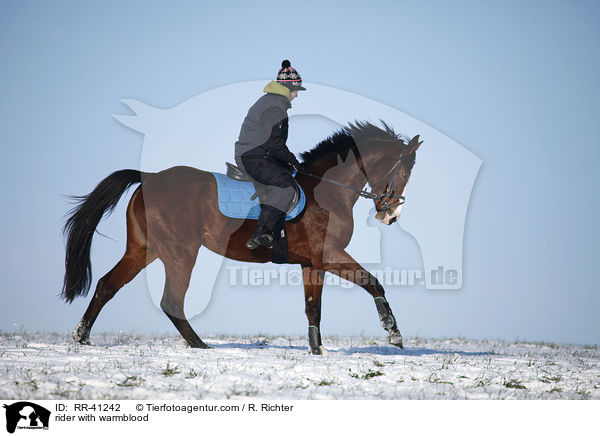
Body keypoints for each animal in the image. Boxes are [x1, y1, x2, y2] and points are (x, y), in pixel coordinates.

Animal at [63, 121, 422, 352]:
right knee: (171, 301)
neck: (327, 190)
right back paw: (200, 345)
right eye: (404, 171)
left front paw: (316, 351)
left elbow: (313, 309)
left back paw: (81, 337)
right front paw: (393, 334)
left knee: (107, 285)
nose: (390, 215)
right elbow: (373, 282)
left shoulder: (311, 263)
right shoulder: (330, 255)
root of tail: (149, 178)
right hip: (181, 252)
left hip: (143, 249)